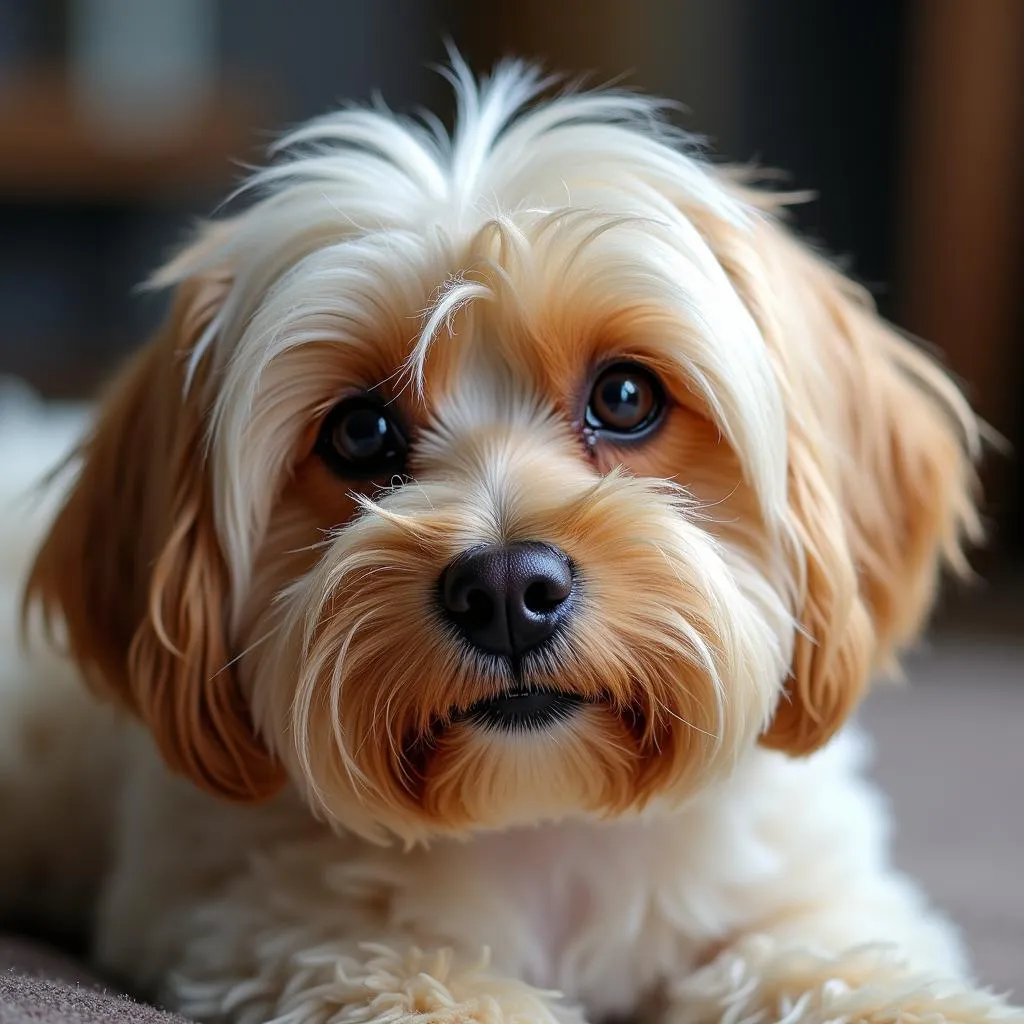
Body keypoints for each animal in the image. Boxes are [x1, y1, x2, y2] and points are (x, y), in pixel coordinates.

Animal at [0, 59, 1015, 1019]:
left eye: (626, 396)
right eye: (359, 432)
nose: (505, 590)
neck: (546, 821)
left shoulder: (815, 896)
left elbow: (824, 962)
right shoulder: (249, 920)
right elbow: (406, 974)